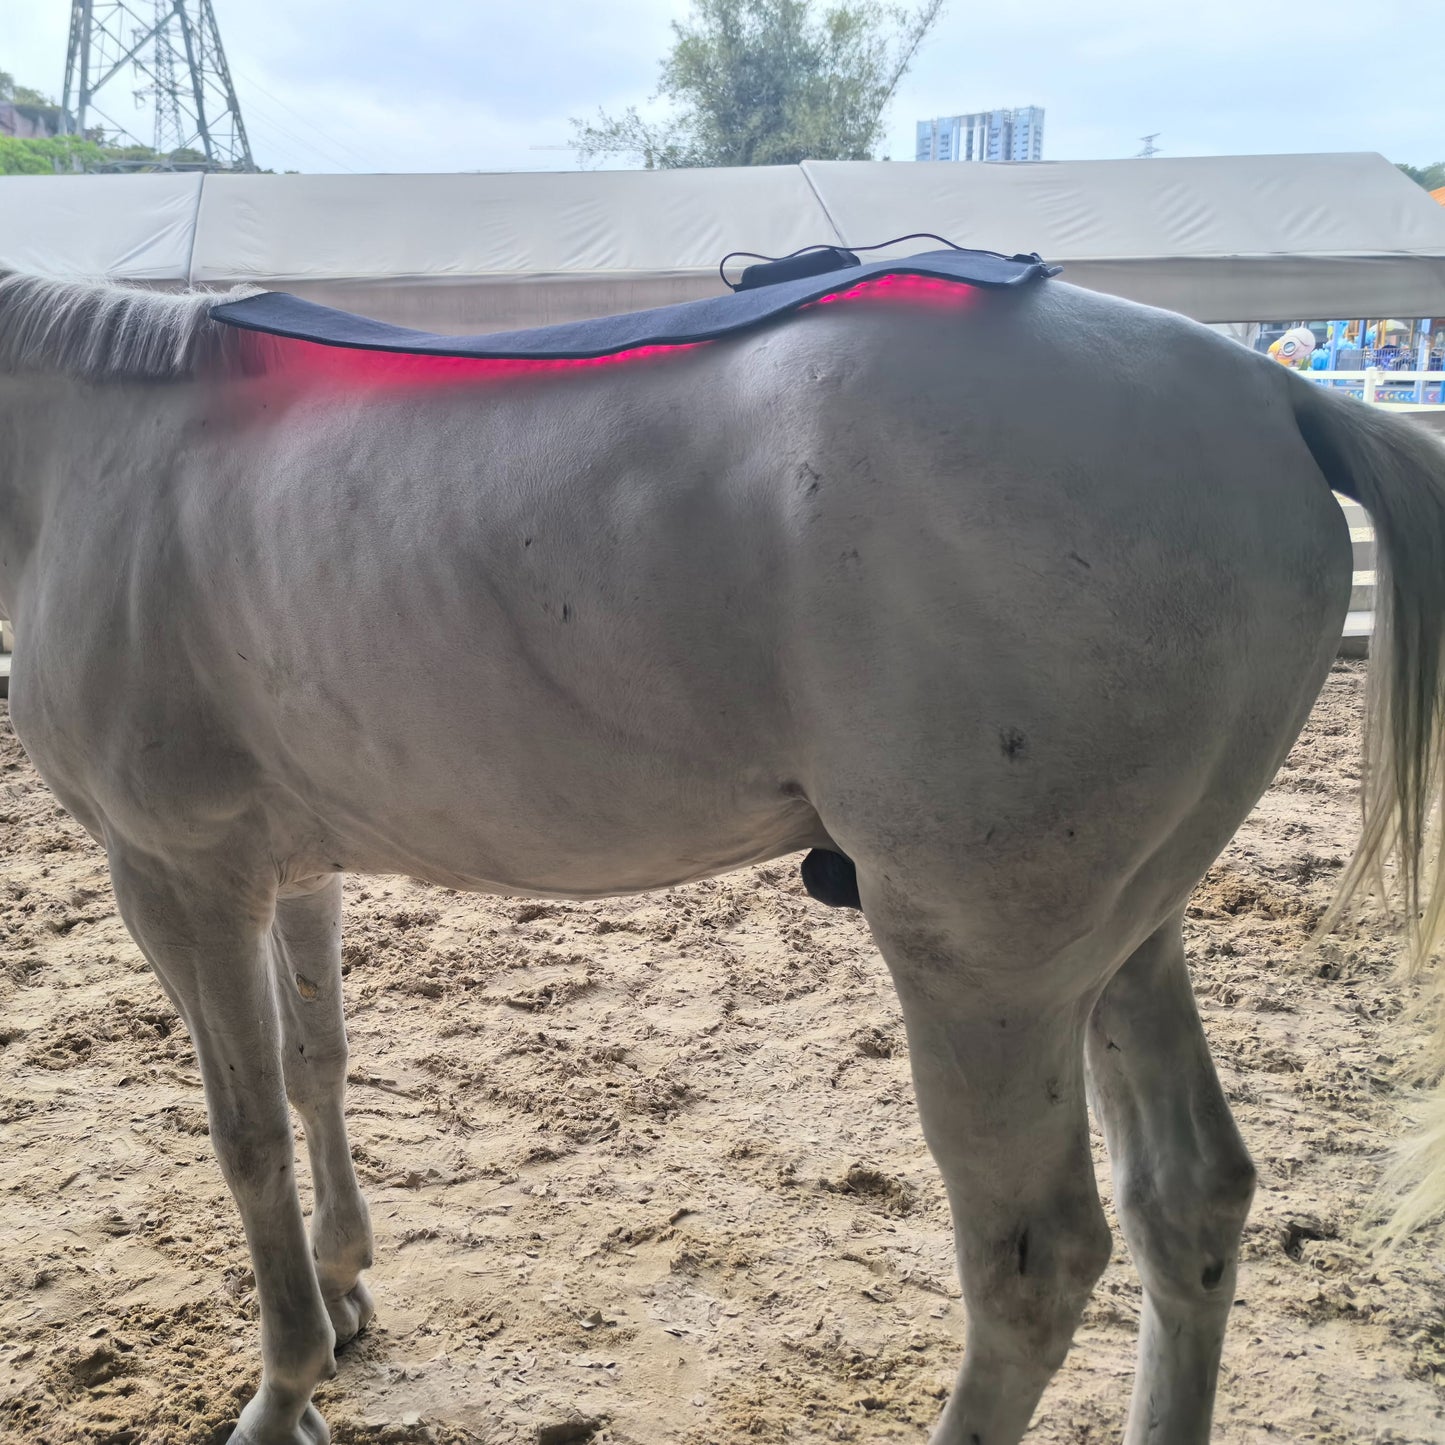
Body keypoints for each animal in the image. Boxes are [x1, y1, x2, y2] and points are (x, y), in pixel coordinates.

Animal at [1, 265, 1444, 1445]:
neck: (91, 455)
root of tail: (1265, 391)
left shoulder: (178, 874)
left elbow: (241, 1132)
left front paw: (283, 1388)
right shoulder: (292, 870)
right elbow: (316, 1071)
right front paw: (346, 1285)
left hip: (989, 970)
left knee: (1032, 1266)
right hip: (1127, 937)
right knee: (1188, 1202)